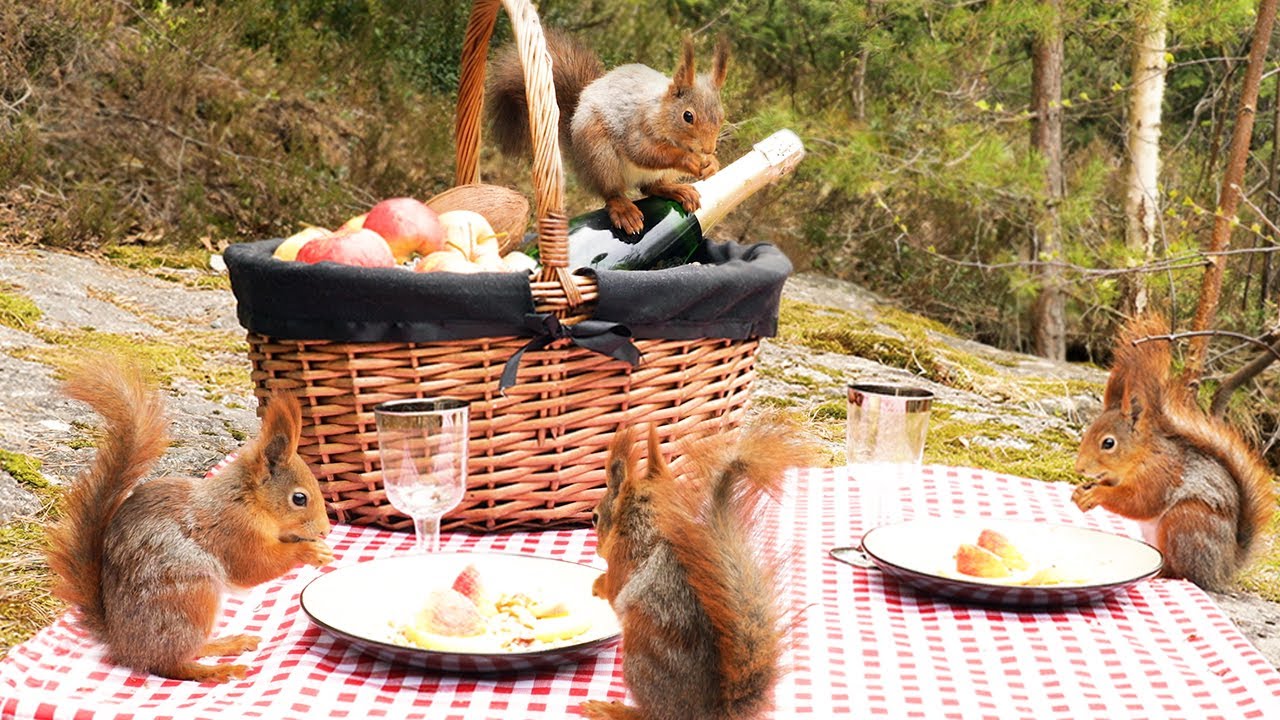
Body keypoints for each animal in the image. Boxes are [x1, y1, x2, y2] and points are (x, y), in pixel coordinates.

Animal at [45, 356, 334, 683]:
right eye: (299, 498)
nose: (325, 531)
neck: (247, 501)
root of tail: (124, 644)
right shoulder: (233, 531)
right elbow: (255, 567)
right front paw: (309, 551)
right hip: (190, 601)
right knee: (170, 664)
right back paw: (218, 670)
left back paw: (227, 643)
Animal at [487, 29, 730, 235]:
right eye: (688, 116)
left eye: (722, 115)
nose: (709, 149)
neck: (659, 111)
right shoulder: (635, 127)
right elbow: (644, 152)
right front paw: (689, 159)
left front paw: (713, 164)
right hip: (600, 156)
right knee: (612, 192)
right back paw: (624, 209)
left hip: (660, 173)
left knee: (651, 187)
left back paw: (676, 190)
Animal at [579, 413, 817, 720]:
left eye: (595, 518)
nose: (597, 547)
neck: (649, 520)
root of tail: (710, 713)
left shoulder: (626, 557)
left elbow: (614, 586)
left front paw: (597, 584)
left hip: (639, 661)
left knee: (654, 716)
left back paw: (614, 710)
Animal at [1072, 314, 1276, 591]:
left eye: (1108, 443)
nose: (1079, 468)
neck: (1141, 455)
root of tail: (1224, 569)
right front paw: (1080, 492)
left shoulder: (1160, 475)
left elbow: (1138, 503)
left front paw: (1097, 494)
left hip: (1184, 522)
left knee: (1185, 572)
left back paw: (1163, 575)